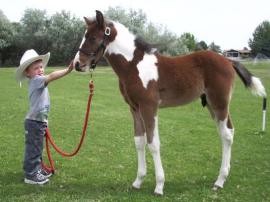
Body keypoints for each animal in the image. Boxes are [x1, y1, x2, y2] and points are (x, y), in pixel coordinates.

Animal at [73, 10, 266, 195]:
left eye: (92, 37)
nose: (77, 64)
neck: (134, 66)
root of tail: (228, 60)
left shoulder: (149, 107)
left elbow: (153, 143)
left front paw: (159, 186)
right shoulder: (134, 108)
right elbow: (139, 142)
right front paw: (138, 182)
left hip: (219, 103)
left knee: (226, 134)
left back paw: (219, 181)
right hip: (213, 105)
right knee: (227, 132)